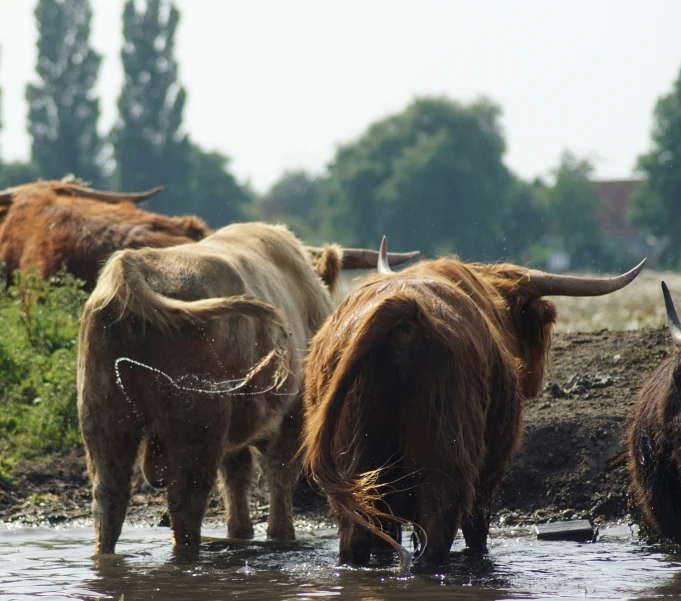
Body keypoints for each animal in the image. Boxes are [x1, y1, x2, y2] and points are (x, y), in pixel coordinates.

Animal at [78, 223, 420, 556]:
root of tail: (134, 265)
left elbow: (236, 478)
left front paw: (240, 533)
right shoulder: (293, 417)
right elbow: (280, 475)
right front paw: (281, 537)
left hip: (104, 415)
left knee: (109, 498)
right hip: (197, 421)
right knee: (186, 500)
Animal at [302, 238, 644, 568]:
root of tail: (403, 309)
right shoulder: (491, 471)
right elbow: (477, 529)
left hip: (355, 467)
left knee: (357, 539)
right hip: (447, 461)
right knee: (437, 536)